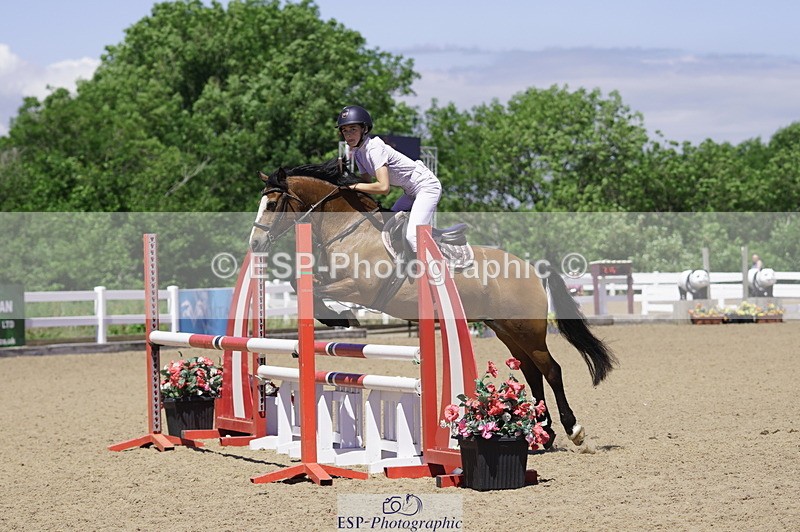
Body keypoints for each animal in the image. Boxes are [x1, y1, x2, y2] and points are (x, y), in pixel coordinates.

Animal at [249, 158, 617, 447]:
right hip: (506, 329)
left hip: (527, 329)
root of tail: (531, 267)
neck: (349, 231)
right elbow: (302, 285)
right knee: (531, 370)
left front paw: (341, 319)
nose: (255, 244)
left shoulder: (360, 288)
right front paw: (332, 321)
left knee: (550, 369)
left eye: (272, 205)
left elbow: (317, 291)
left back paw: (572, 429)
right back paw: (544, 432)